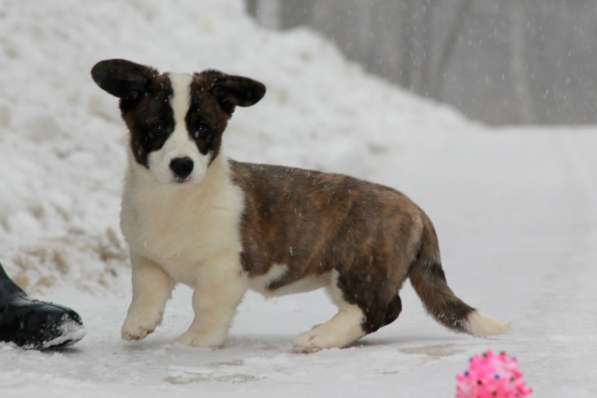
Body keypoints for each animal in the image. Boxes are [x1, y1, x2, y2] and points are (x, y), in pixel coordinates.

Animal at [92, 58, 508, 352]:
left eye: (203, 130)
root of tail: (414, 207)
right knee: (386, 308)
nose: (183, 165)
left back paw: (320, 337)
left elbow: (205, 306)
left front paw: (197, 340)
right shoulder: (147, 258)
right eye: (157, 129)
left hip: (358, 267)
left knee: (377, 309)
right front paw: (139, 325)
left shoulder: (222, 270)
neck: (173, 200)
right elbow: (145, 292)